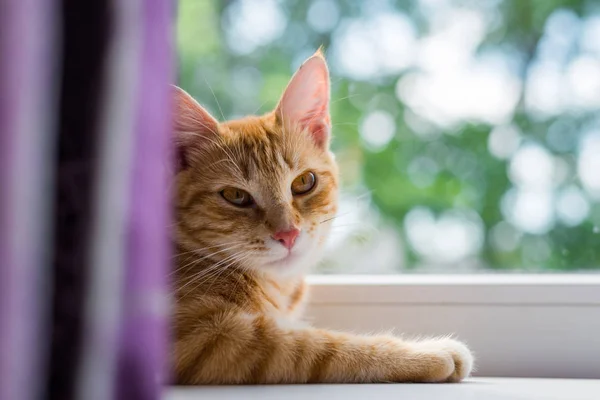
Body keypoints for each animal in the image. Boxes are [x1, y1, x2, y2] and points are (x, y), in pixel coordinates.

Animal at [170, 50, 474, 384]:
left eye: (304, 182)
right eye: (236, 196)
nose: (288, 233)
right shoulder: (210, 339)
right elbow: (321, 347)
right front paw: (426, 354)